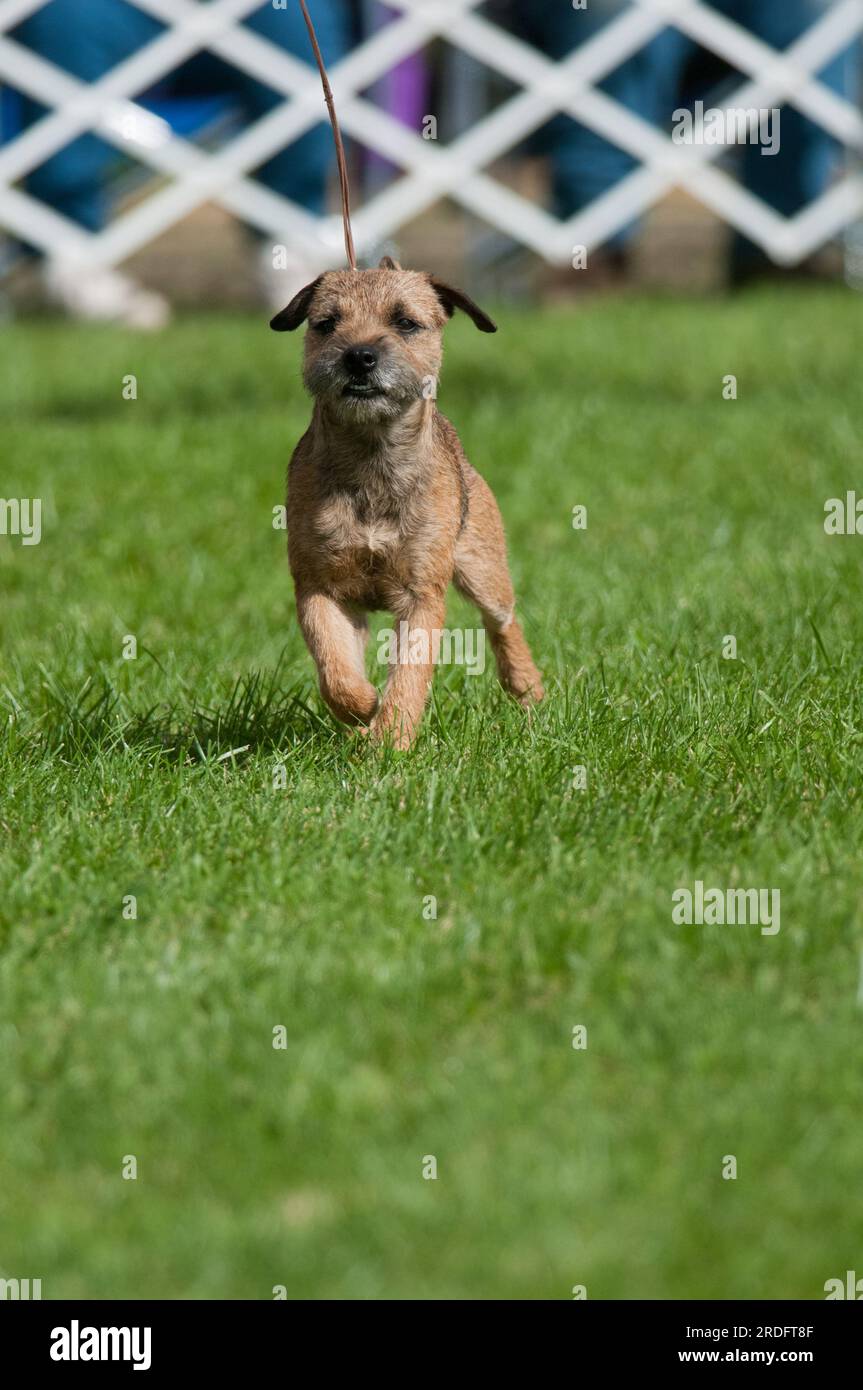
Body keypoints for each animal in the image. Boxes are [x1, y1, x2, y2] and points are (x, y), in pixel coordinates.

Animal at [269, 255, 541, 745]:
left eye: (405, 323)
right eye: (327, 323)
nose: (359, 355)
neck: (373, 460)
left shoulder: (422, 597)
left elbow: (410, 675)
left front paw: (391, 740)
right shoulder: (319, 587)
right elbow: (335, 668)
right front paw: (362, 708)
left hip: (483, 569)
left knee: (504, 623)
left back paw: (528, 689)